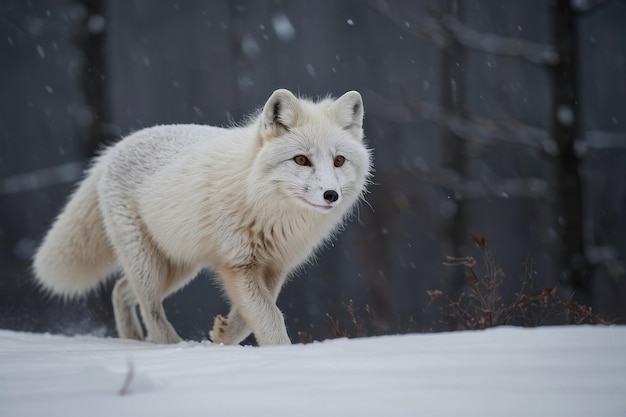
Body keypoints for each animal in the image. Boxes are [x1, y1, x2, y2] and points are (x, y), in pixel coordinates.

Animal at [31, 89, 370, 346]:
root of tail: (115, 148)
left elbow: (248, 319)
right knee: (148, 307)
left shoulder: (273, 268)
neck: (264, 204)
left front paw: (222, 336)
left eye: (339, 161)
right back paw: (169, 346)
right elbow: (270, 317)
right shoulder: (240, 265)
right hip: (152, 267)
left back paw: (132, 340)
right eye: (301, 160)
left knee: (121, 291)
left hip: (177, 267)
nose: (331, 195)